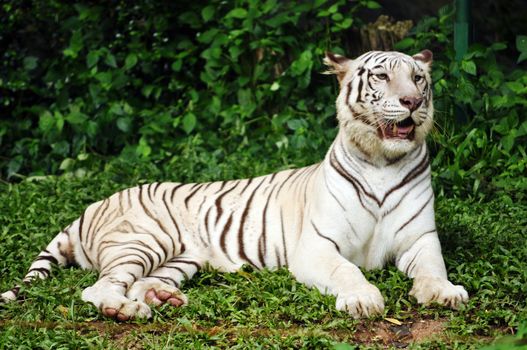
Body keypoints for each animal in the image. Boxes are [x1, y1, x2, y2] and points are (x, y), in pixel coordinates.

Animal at [2, 48, 468, 320]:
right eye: (382, 78)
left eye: (418, 78)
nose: (412, 101)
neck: (381, 162)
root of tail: (92, 205)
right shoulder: (317, 246)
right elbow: (347, 269)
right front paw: (363, 299)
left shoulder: (421, 238)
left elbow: (433, 268)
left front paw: (445, 293)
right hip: (143, 240)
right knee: (98, 287)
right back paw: (125, 310)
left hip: (178, 259)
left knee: (138, 282)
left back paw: (161, 300)